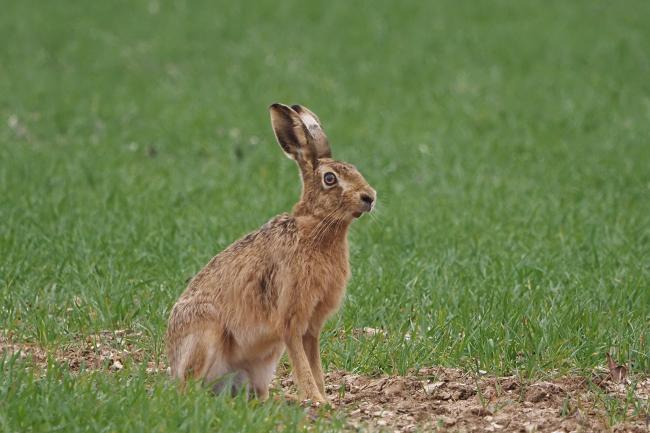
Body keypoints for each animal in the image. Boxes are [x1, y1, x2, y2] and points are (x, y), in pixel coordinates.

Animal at [165, 103, 376, 404]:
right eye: (330, 178)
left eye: (355, 170)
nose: (370, 197)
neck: (315, 225)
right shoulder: (291, 317)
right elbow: (302, 362)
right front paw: (317, 400)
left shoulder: (312, 326)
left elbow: (314, 363)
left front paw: (323, 398)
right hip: (206, 333)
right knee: (191, 387)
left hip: (263, 361)